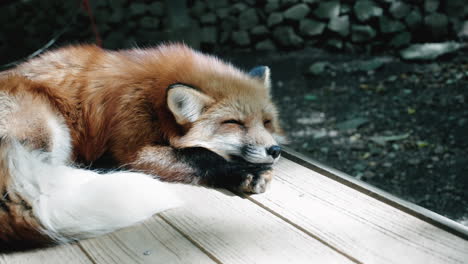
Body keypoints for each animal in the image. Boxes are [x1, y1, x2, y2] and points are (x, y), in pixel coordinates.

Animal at [0, 44, 286, 249]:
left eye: (266, 122)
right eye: (234, 123)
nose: (275, 151)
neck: (155, 101)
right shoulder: (134, 151)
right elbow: (199, 154)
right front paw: (248, 172)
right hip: (49, 129)